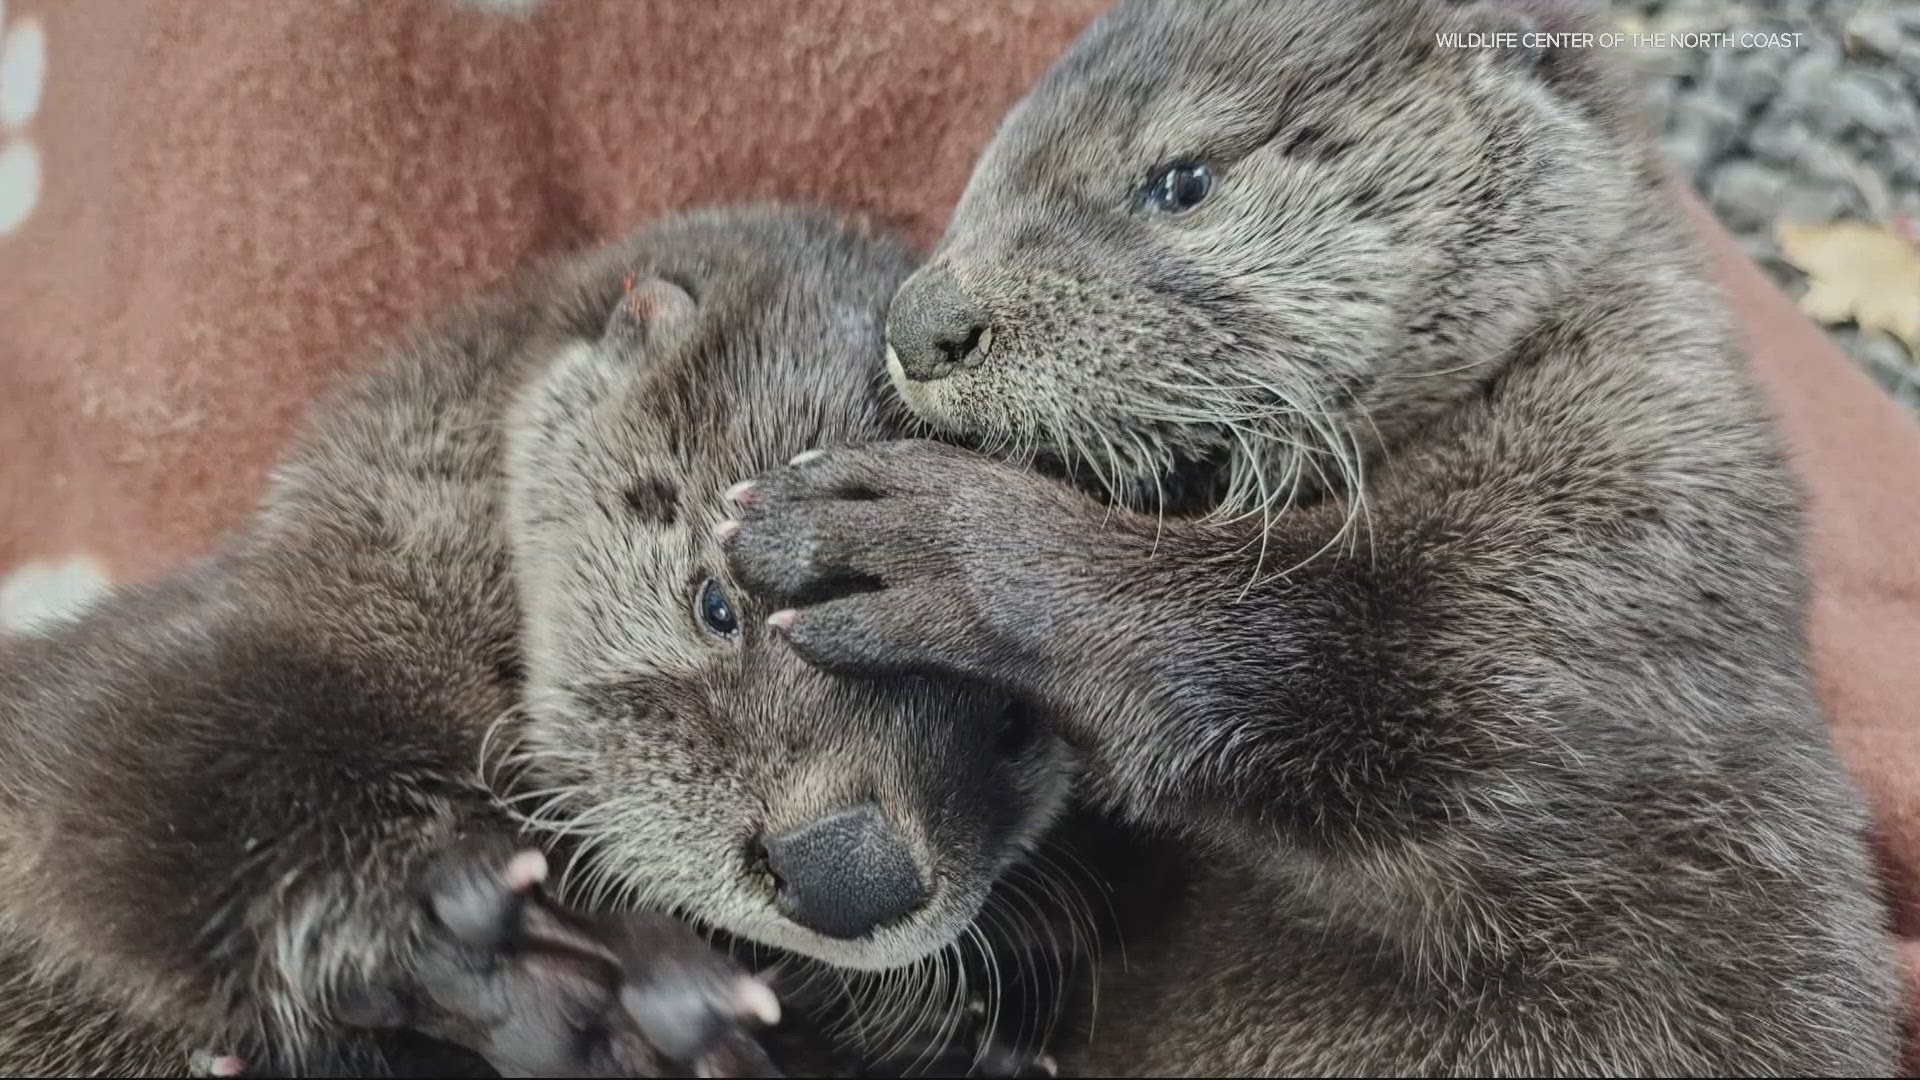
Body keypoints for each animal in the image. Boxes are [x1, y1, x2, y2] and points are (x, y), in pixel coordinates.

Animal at [0, 205, 1075, 1068]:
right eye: (716, 603)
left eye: (1015, 722)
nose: (847, 871)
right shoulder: (206, 680)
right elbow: (139, 806)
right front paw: (517, 970)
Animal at [718, 4, 1904, 1068]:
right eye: (976, 183)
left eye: (1181, 181)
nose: (920, 325)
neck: (1538, 375)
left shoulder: (1613, 559)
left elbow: (1332, 656)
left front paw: (921, 539)